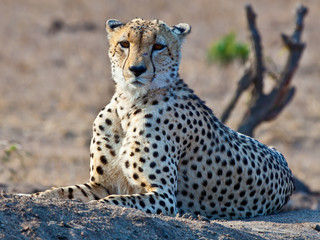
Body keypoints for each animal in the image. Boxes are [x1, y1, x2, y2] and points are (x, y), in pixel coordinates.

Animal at [31, 17, 294, 218]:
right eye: (124, 43)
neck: (129, 103)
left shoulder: (163, 196)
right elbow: (58, 193)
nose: (137, 70)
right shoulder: (101, 184)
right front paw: (34, 195)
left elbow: (111, 202)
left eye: (158, 46)